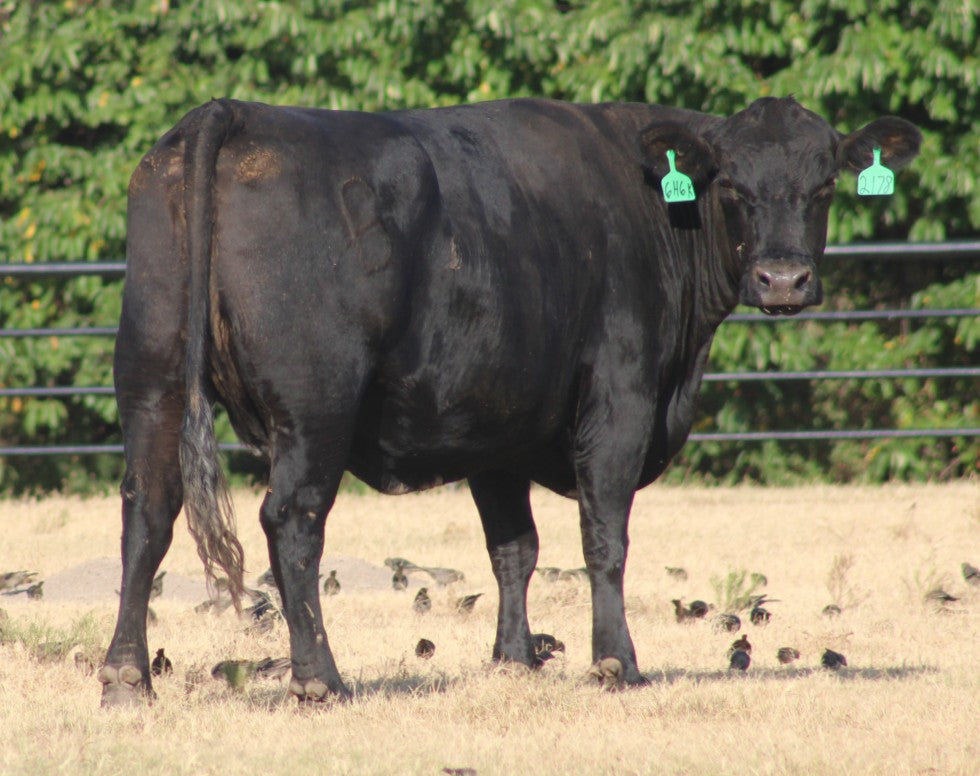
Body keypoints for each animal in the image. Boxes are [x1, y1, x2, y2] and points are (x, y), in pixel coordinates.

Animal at [100, 96, 920, 706]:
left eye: (823, 186)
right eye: (731, 188)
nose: (782, 280)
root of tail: (235, 112)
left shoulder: (496, 424)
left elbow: (513, 548)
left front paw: (513, 657)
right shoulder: (620, 399)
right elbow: (604, 536)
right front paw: (616, 662)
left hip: (152, 381)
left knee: (148, 511)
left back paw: (125, 674)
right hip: (316, 402)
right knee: (292, 522)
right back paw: (319, 679)